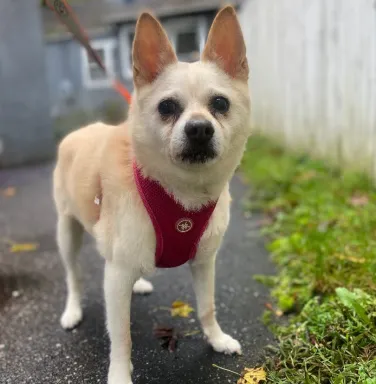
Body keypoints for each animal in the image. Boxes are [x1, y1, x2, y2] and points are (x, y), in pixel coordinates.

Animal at [53, 6, 250, 384]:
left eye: (220, 103)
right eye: (167, 108)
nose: (199, 129)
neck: (181, 191)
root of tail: (79, 132)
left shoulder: (203, 262)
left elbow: (206, 307)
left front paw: (216, 339)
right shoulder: (115, 275)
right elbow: (121, 335)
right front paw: (119, 374)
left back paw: (139, 284)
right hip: (67, 233)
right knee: (72, 276)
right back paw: (71, 310)